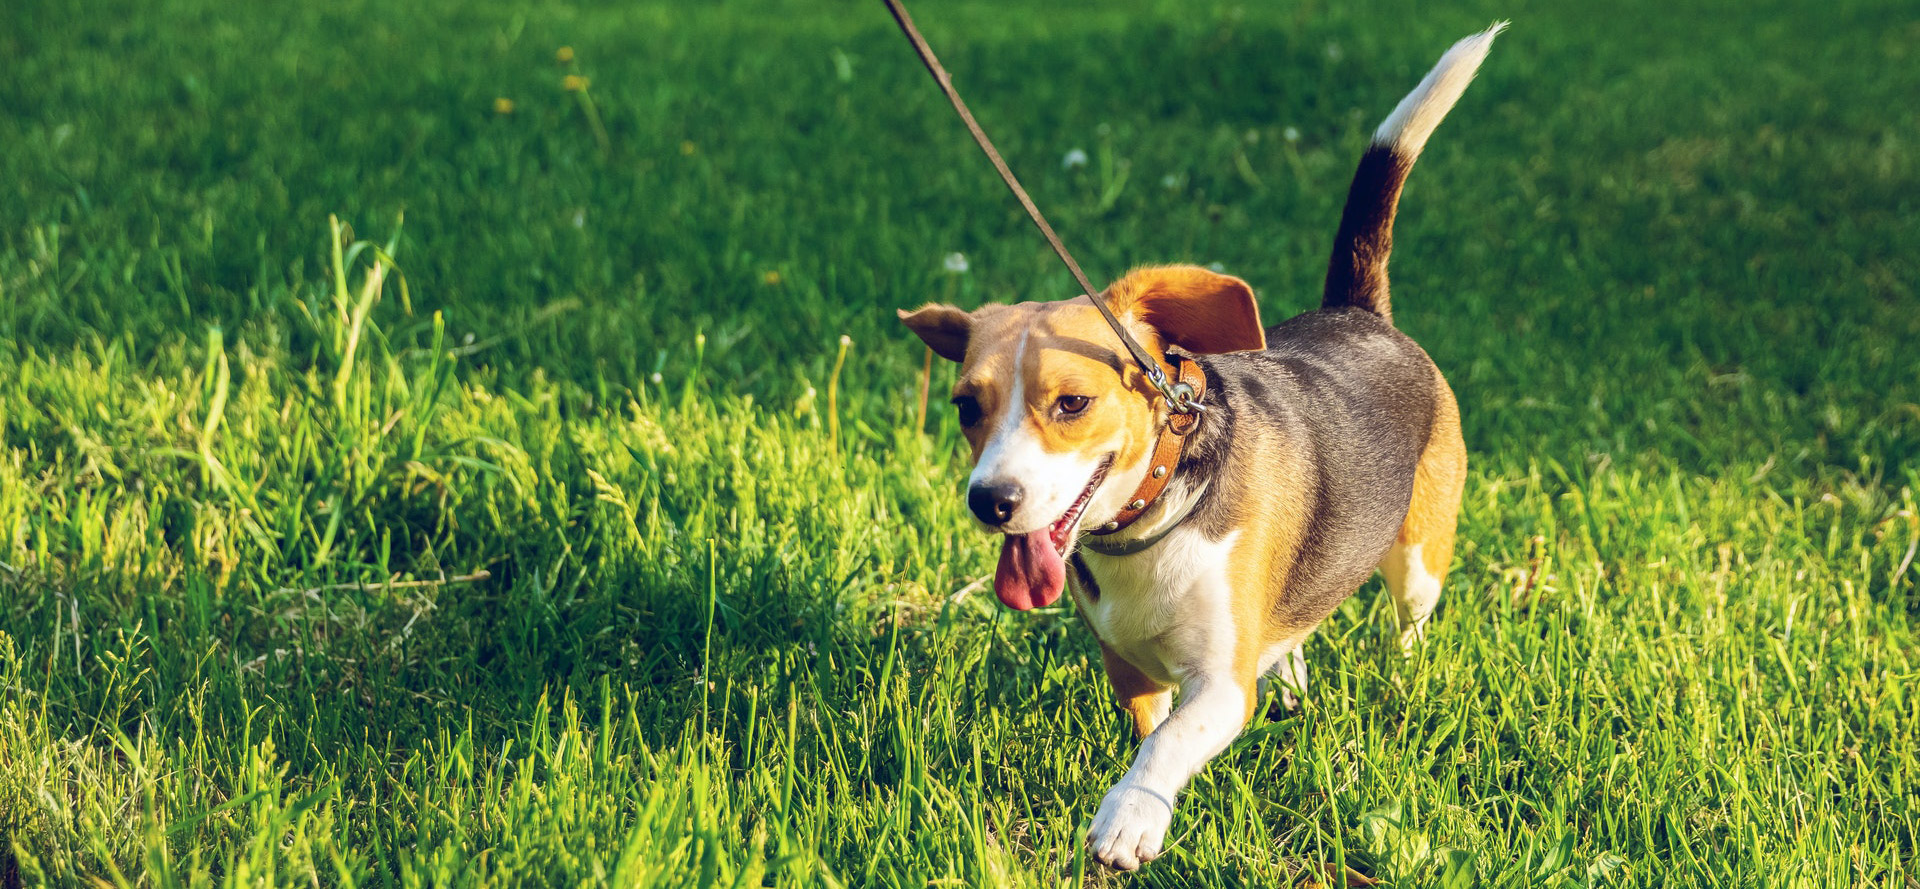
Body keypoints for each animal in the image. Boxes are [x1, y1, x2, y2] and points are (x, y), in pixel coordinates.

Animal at [898, 26, 1497, 871]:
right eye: (964, 407)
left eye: (1072, 403)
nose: (991, 501)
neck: (1151, 517)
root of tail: (1359, 312)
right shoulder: (1128, 667)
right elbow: (1151, 728)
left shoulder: (1219, 682)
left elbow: (1170, 742)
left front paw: (1129, 817)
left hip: (1419, 558)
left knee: (1408, 622)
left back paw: (1401, 679)